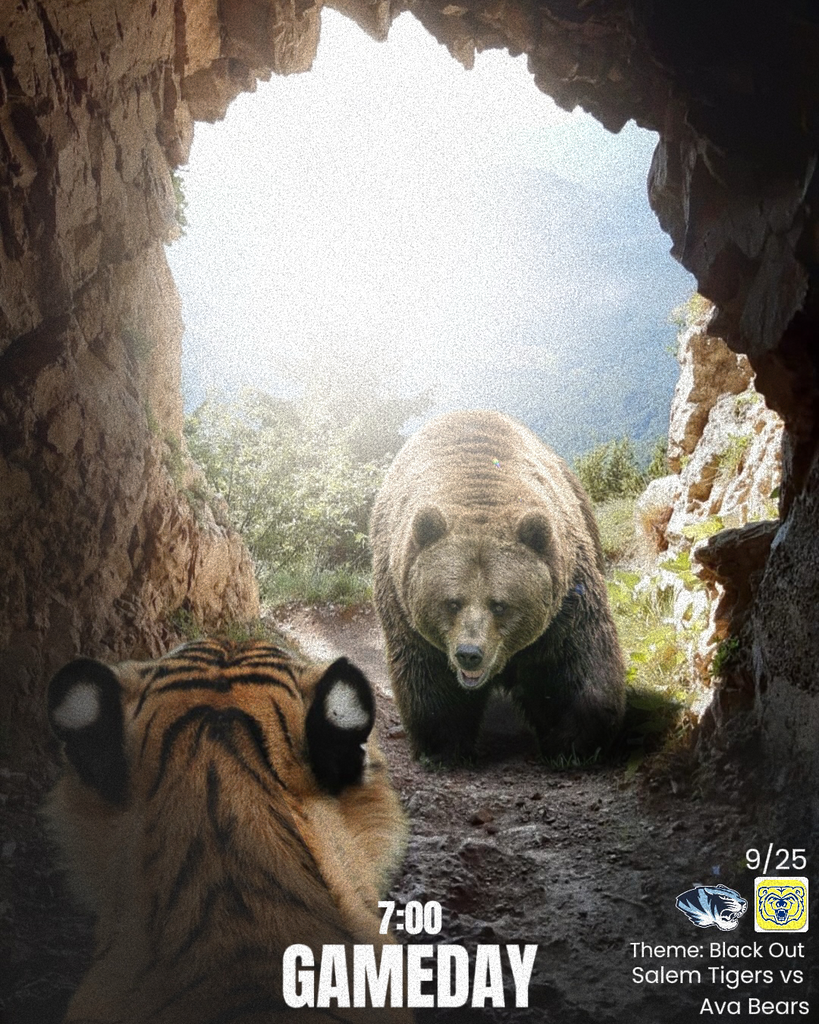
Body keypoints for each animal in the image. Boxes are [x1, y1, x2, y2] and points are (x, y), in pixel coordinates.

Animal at [369, 409, 625, 763]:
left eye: (500, 604)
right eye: (452, 602)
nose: (470, 654)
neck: (478, 493)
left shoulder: (567, 601)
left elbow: (574, 664)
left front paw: (575, 742)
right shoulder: (402, 605)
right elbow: (428, 679)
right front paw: (443, 746)